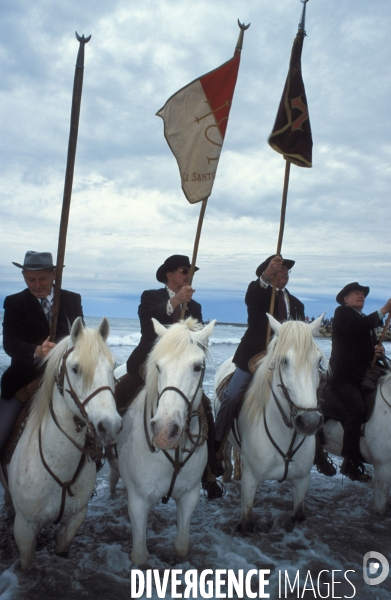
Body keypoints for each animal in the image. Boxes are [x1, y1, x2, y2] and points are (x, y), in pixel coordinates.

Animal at [108, 316, 216, 564]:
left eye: (198, 367)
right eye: (157, 366)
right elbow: (139, 555)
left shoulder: (189, 496)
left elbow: (182, 546)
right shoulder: (138, 502)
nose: (165, 432)